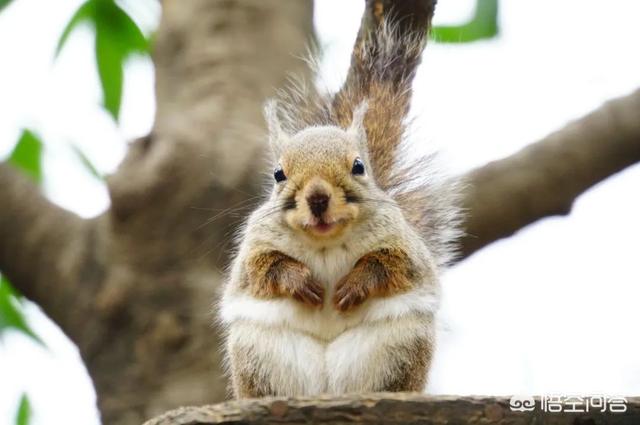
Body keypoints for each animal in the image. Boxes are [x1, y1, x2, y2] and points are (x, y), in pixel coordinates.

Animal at [220, 14, 460, 398]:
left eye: (359, 166)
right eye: (277, 174)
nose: (318, 198)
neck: (326, 242)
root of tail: (327, 389)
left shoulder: (404, 245)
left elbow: (393, 265)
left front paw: (354, 284)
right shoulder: (254, 247)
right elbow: (263, 270)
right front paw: (300, 281)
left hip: (400, 346)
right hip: (258, 353)